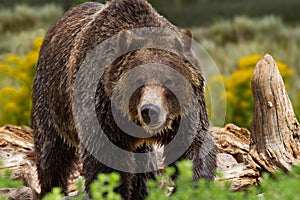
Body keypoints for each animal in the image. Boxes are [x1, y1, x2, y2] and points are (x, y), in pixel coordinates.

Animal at [31, 0, 216, 199]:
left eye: (169, 80)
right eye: (138, 80)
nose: (150, 111)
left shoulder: (185, 112)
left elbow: (193, 146)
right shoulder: (102, 109)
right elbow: (105, 161)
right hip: (51, 100)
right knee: (51, 153)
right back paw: (52, 189)